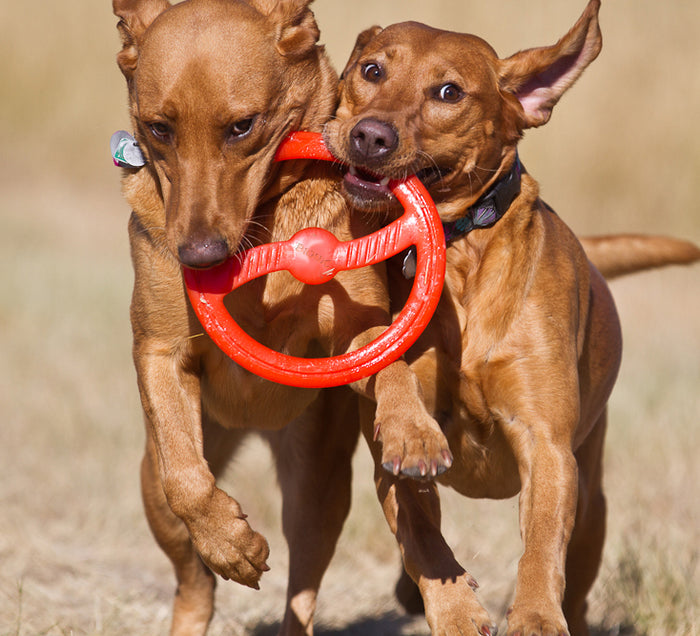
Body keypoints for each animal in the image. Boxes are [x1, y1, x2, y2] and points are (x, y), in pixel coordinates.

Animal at [111, 0, 452, 632]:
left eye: (243, 126)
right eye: (159, 129)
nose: (199, 257)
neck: (264, 225)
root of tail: (252, 425)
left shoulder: (357, 324)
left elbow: (388, 362)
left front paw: (412, 431)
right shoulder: (158, 349)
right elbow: (187, 483)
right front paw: (233, 546)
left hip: (317, 485)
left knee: (303, 587)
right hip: (155, 482)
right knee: (193, 576)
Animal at [322, 1, 696, 636]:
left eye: (449, 91)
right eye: (371, 70)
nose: (370, 135)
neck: (459, 259)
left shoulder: (546, 444)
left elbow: (542, 543)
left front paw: (536, 616)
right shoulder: (390, 463)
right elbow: (421, 531)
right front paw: (454, 610)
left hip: (593, 502)